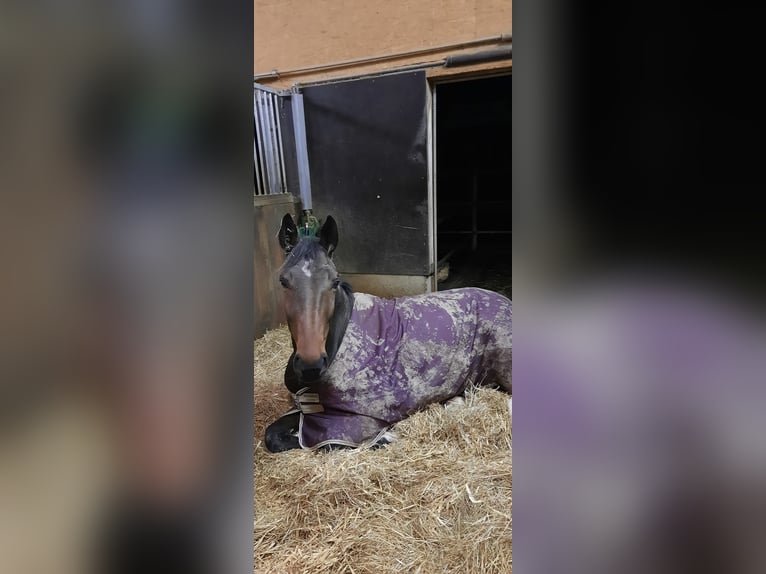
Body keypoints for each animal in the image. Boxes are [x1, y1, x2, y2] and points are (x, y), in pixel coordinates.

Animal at [263, 213, 512, 453]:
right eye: (283, 281)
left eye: (334, 281)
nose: (310, 364)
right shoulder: (309, 408)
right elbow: (272, 435)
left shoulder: (356, 422)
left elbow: (329, 444)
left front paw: (387, 438)